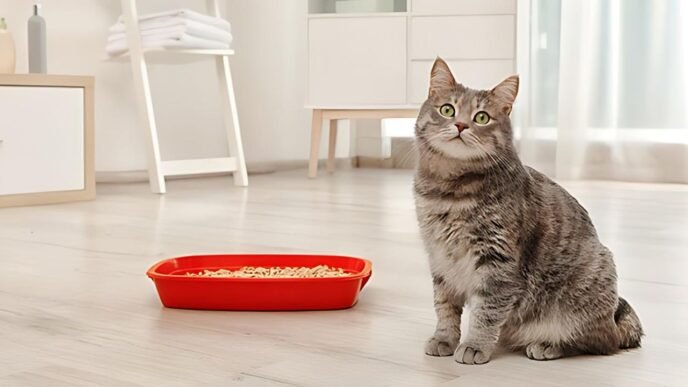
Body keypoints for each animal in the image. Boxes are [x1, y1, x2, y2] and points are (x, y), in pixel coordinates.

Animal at [414, 56, 644, 364]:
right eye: (447, 110)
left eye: (482, 117)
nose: (461, 125)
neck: (448, 191)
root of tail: (614, 316)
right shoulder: (439, 258)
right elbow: (444, 306)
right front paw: (444, 339)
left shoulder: (497, 260)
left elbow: (486, 312)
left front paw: (475, 345)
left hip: (585, 293)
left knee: (601, 342)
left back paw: (547, 345)